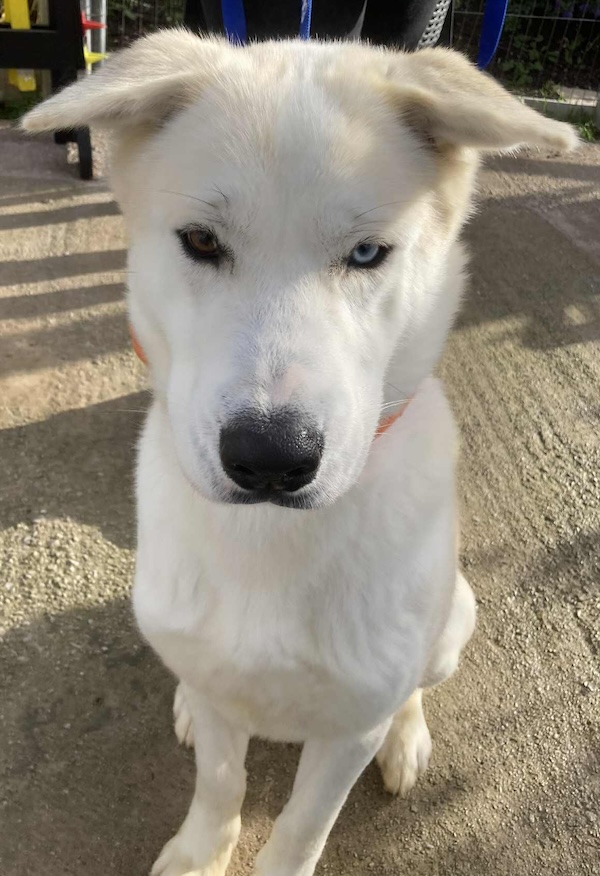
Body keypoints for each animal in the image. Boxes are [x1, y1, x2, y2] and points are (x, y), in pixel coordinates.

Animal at [23, 31, 576, 876]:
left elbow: (302, 825)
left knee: (414, 687)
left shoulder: (349, 730)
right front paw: (200, 851)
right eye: (201, 241)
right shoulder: (219, 690)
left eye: (368, 252)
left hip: (454, 620)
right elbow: (220, 784)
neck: (267, 541)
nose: (270, 459)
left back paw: (408, 739)